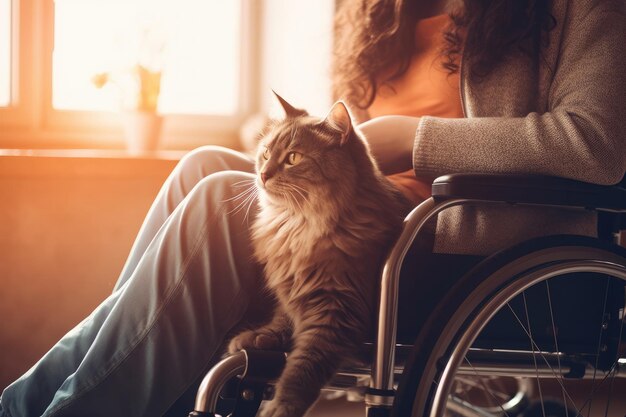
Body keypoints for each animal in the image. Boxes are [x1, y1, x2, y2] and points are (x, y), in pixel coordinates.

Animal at [227, 93, 408, 416]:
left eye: (293, 158)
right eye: (266, 153)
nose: (263, 174)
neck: (298, 225)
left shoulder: (336, 314)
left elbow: (301, 371)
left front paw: (281, 406)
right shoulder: (293, 291)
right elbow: (281, 320)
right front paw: (259, 337)